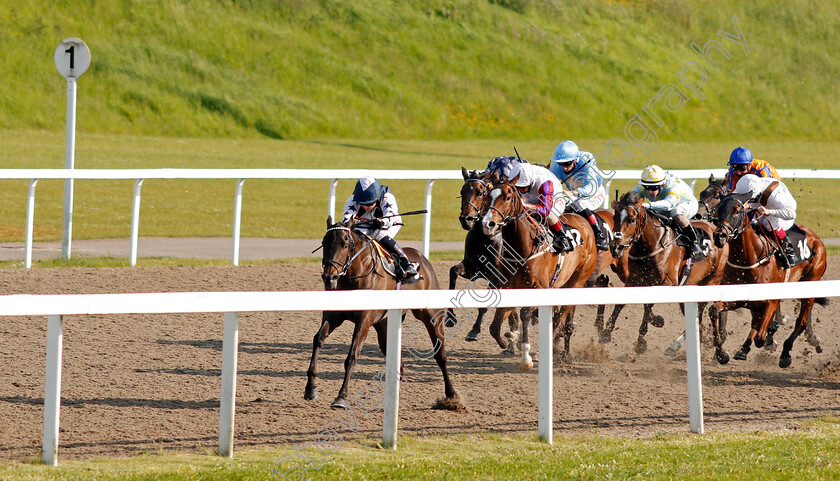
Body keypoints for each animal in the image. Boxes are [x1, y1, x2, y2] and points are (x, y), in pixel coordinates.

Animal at [304, 218, 462, 408]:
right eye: (324, 243)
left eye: (345, 244)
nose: (329, 278)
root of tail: (422, 259)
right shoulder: (334, 315)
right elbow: (318, 339)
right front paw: (310, 388)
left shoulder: (364, 319)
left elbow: (352, 355)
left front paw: (341, 396)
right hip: (384, 325)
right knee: (397, 359)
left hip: (431, 316)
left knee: (440, 355)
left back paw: (451, 394)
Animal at [480, 178, 596, 370]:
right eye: (488, 196)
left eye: (508, 197)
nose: (487, 224)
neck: (521, 248)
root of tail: (585, 222)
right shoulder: (508, 286)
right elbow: (495, 326)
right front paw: (509, 340)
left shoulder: (538, 287)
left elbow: (525, 315)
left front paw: (526, 358)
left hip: (577, 281)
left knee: (560, 318)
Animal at [608, 190, 732, 352]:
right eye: (615, 217)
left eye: (632, 219)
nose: (615, 248)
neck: (652, 244)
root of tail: (718, 232)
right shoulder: (634, 279)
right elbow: (622, 303)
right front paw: (606, 332)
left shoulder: (669, 282)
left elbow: (649, 304)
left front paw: (645, 335)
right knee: (699, 323)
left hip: (711, 281)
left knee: (707, 313)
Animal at [712, 193, 832, 366]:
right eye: (718, 210)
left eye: (736, 211)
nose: (719, 236)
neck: (750, 258)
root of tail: (817, 239)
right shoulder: (740, 297)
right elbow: (715, 310)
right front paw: (722, 354)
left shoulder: (771, 300)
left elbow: (761, 336)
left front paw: (772, 334)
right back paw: (745, 349)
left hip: (810, 283)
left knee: (801, 322)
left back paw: (786, 353)